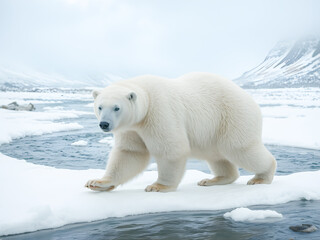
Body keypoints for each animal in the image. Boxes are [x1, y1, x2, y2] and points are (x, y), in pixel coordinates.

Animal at [85, 72, 278, 192]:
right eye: (100, 106)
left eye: (117, 107)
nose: (104, 124)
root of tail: (250, 99)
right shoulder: (131, 128)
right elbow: (130, 153)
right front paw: (96, 182)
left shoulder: (159, 112)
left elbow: (171, 149)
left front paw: (158, 186)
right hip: (214, 130)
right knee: (217, 155)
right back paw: (212, 180)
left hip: (233, 116)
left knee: (239, 148)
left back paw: (261, 177)